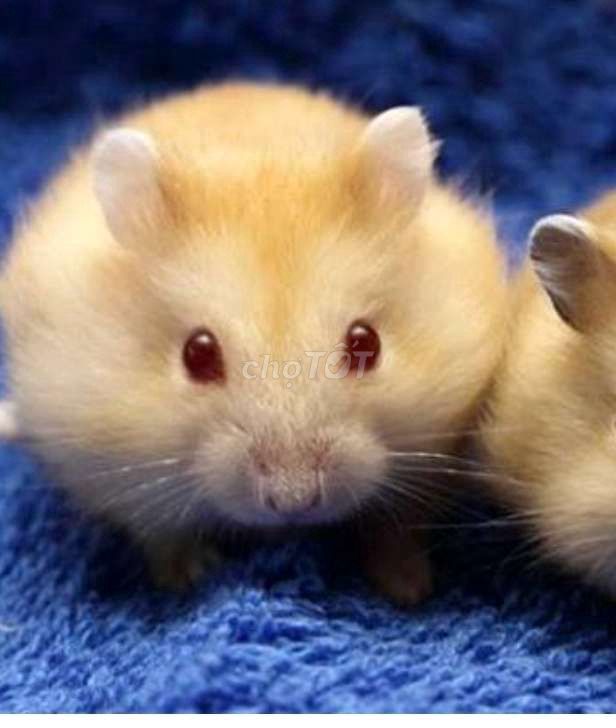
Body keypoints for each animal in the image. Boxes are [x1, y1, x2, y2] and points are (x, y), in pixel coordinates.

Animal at [0, 82, 507, 601]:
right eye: (197, 353)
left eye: (366, 344)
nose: (294, 501)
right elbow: (164, 537)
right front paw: (190, 580)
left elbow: (397, 531)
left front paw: (408, 591)